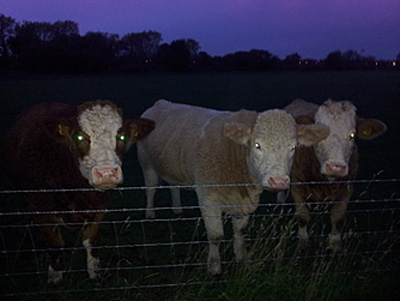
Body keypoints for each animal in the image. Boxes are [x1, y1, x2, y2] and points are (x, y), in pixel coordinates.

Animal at [1, 99, 155, 282]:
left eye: (122, 137)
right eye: (80, 137)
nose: (107, 173)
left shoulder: (99, 205)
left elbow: (91, 240)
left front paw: (95, 272)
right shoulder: (39, 206)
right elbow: (55, 243)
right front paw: (55, 275)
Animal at [136, 99, 330, 274]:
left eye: (293, 147)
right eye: (257, 145)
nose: (279, 181)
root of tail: (161, 103)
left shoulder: (243, 201)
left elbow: (240, 230)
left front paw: (241, 258)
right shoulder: (208, 197)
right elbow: (215, 236)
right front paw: (214, 268)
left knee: (173, 185)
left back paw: (177, 209)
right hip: (145, 162)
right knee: (151, 189)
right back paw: (150, 214)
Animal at [278, 98, 388, 253]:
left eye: (352, 135)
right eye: (319, 135)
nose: (336, 167)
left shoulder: (346, 189)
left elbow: (338, 219)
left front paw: (334, 245)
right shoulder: (297, 187)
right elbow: (303, 217)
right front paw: (303, 244)